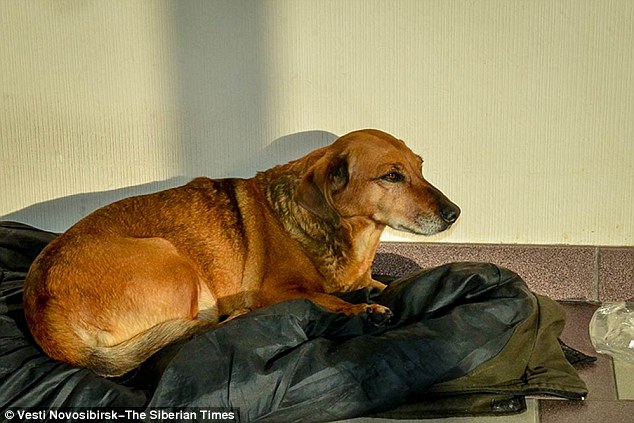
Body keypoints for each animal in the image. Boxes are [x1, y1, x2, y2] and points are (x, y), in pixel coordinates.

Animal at [23, 130, 460, 378]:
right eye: (392, 176)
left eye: (421, 168)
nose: (455, 212)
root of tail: (42, 312)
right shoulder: (278, 292)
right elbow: (322, 297)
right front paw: (362, 309)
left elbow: (380, 282)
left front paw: (370, 291)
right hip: (173, 259)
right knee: (191, 334)